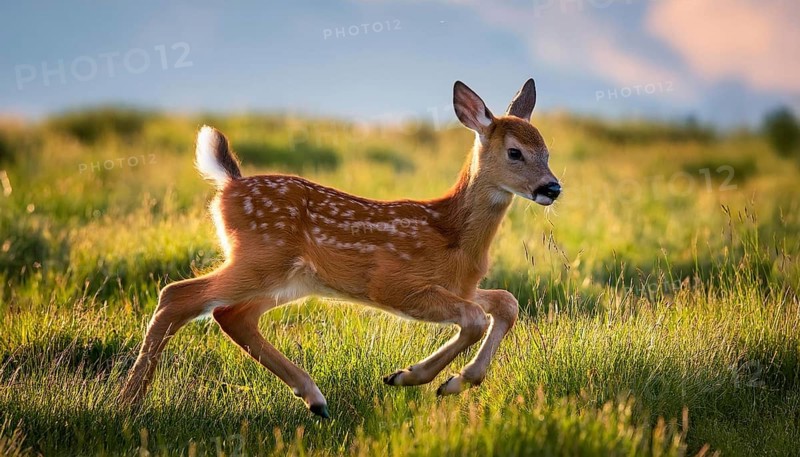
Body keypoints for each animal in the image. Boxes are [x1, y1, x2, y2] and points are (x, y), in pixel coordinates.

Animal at [120, 79, 561, 418]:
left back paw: (315, 400)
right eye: (515, 152)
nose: (552, 187)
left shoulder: (461, 286)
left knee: (231, 315)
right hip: (260, 258)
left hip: (289, 279)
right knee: (177, 295)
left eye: (547, 151)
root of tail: (229, 184)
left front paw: (455, 382)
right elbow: (473, 318)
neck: (451, 235)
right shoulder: (396, 285)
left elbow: (506, 303)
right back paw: (128, 403)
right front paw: (410, 376)